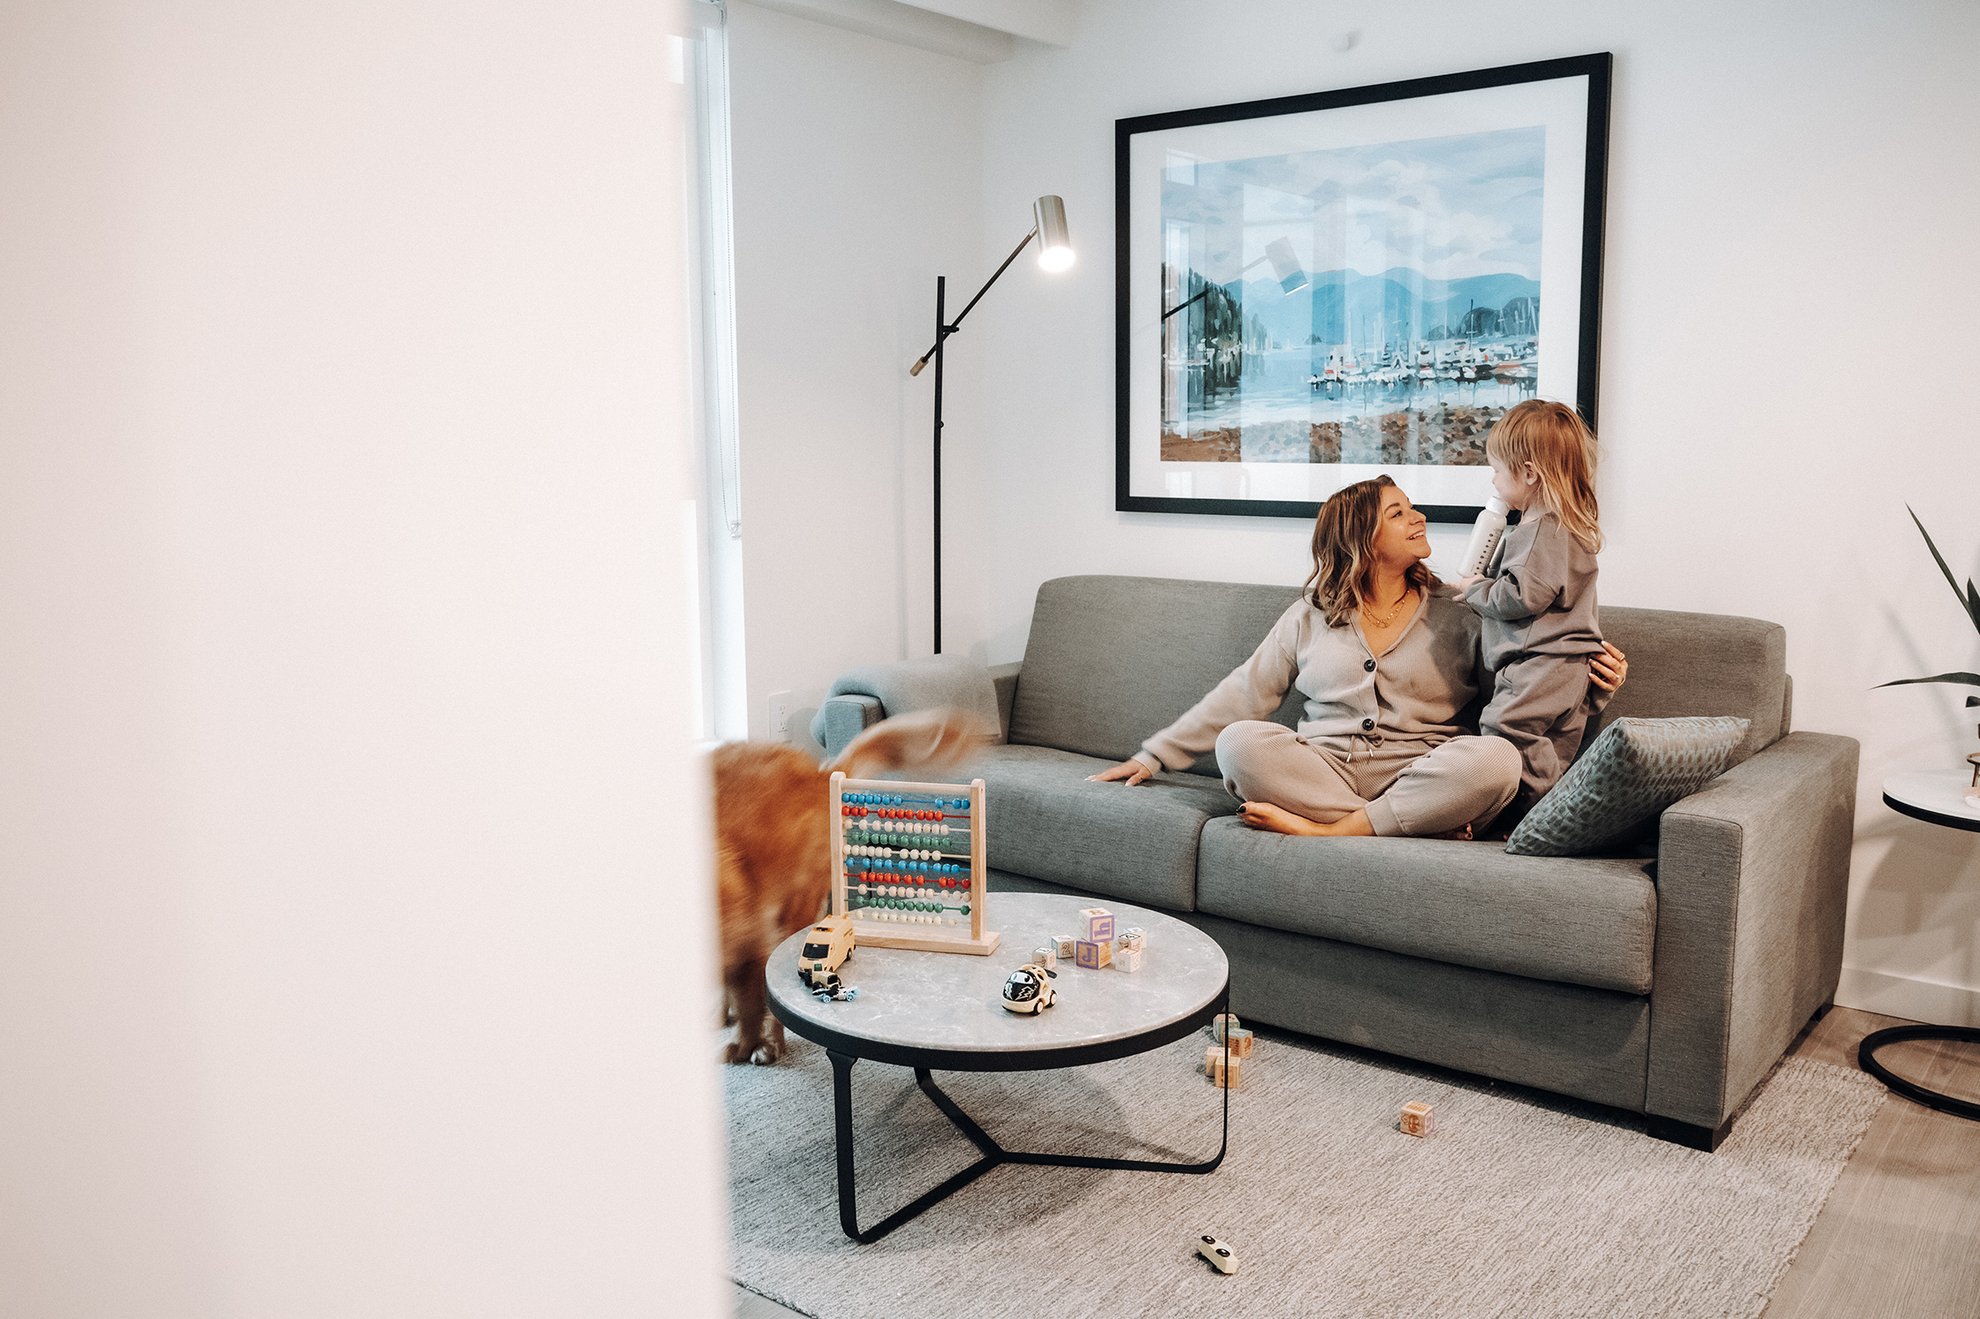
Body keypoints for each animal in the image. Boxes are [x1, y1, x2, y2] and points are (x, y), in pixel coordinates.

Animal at [716, 705, 986, 1061]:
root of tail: (822, 774)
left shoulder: (750, 940)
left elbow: (752, 1005)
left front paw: (749, 1044)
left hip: (795, 903)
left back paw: (771, 1039)